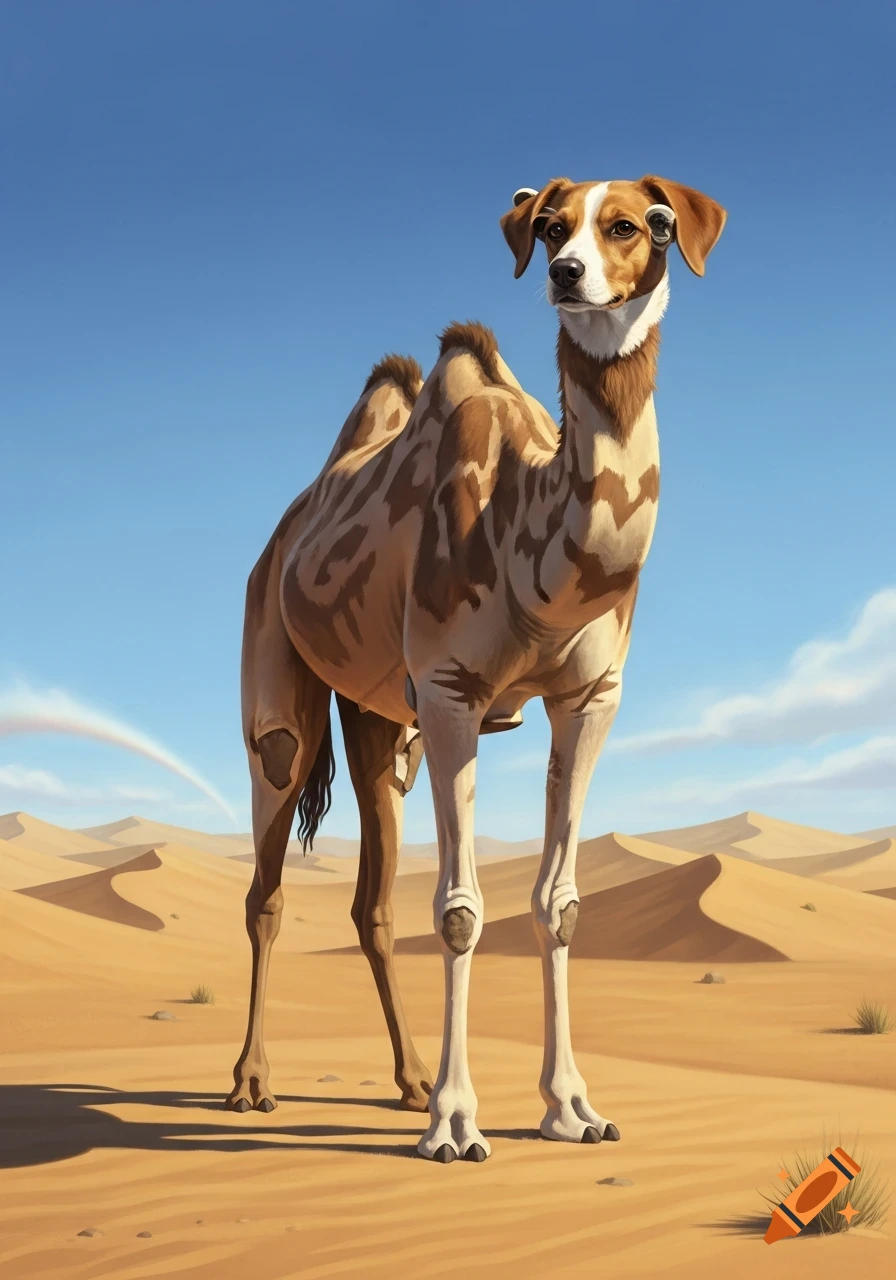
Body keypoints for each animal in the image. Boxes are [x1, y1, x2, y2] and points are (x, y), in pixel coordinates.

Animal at [227, 173, 726, 1163]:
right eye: (551, 226)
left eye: (641, 226)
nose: (570, 274)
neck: (531, 535)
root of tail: (281, 541)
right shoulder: (454, 693)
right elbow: (460, 909)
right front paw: (457, 1126)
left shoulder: (589, 698)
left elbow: (559, 902)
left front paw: (573, 1110)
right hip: (279, 685)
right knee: (268, 874)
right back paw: (254, 1085)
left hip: (381, 721)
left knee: (371, 895)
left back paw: (409, 1078)